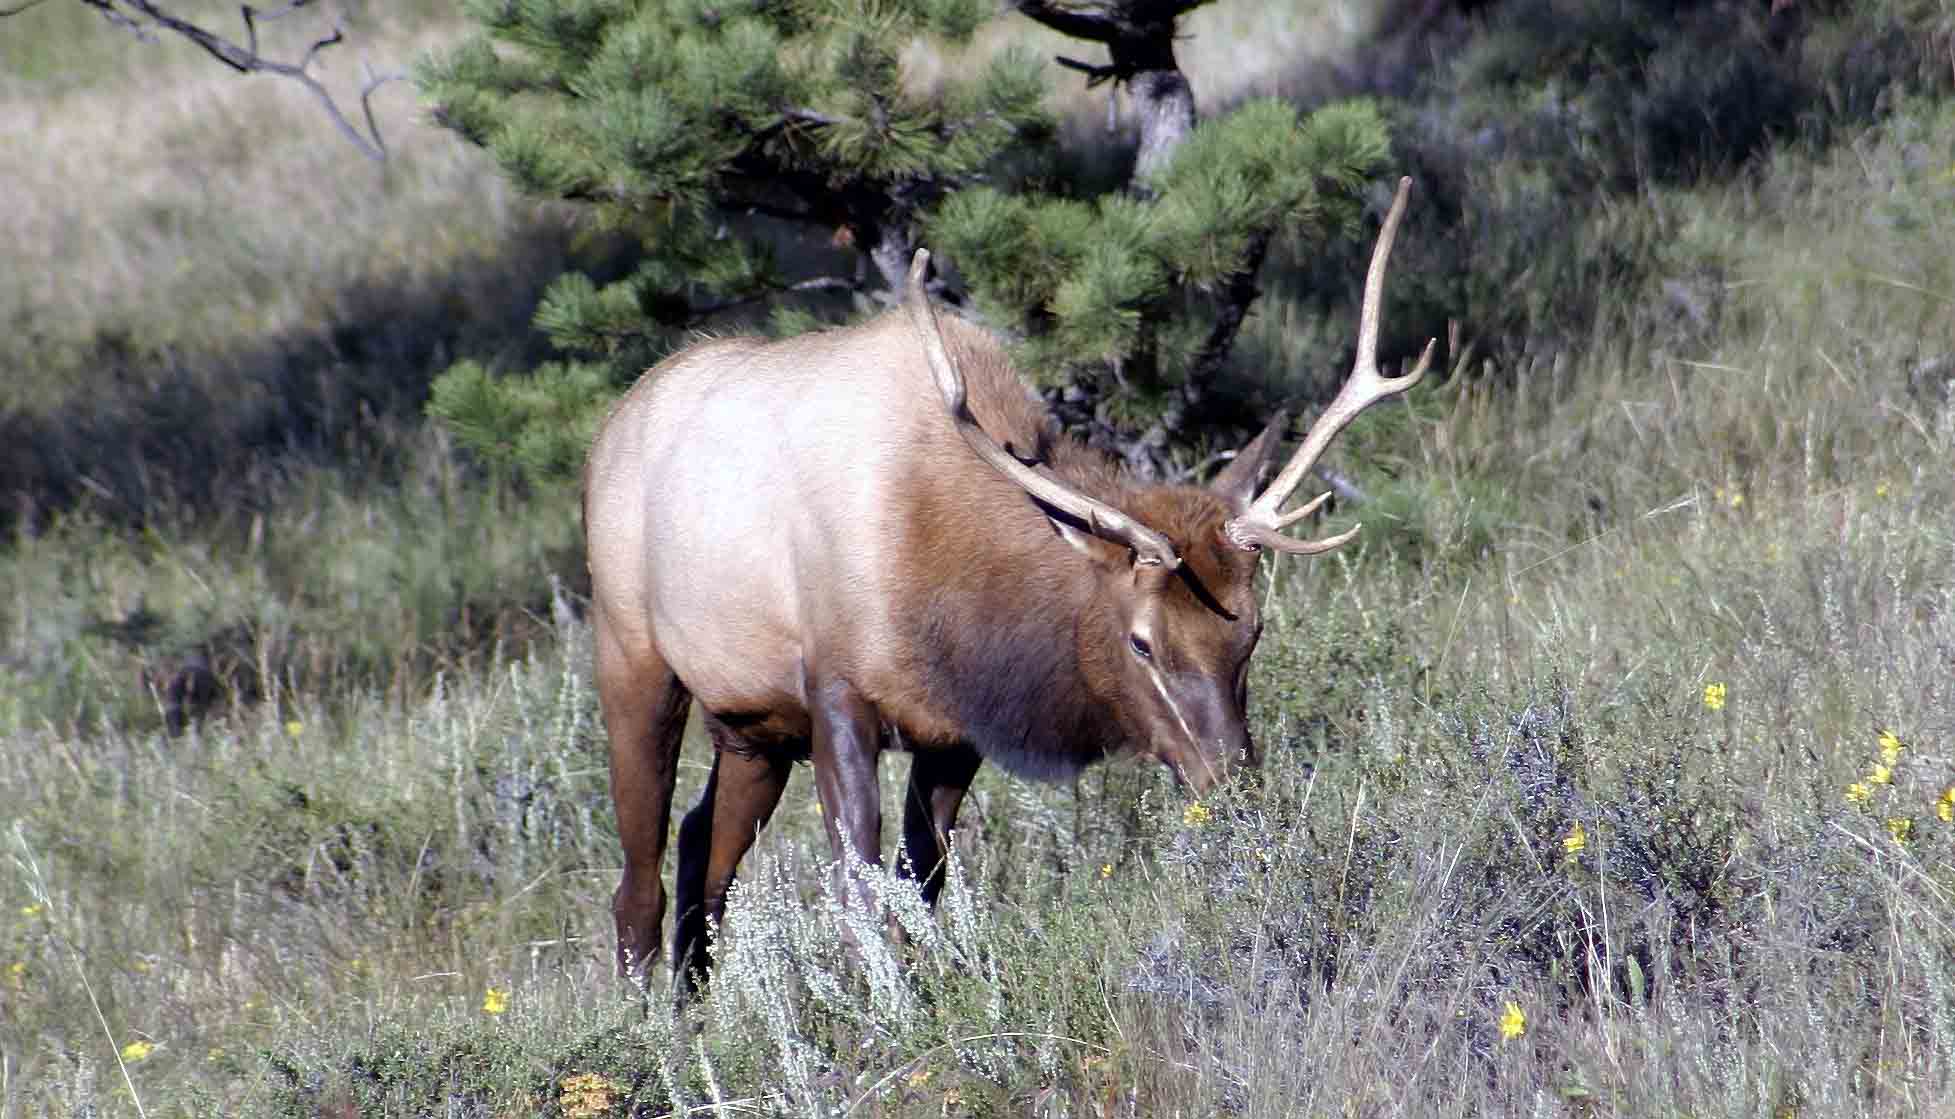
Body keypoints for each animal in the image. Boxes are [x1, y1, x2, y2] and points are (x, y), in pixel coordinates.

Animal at [583, 176, 1434, 995]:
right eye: (1141, 642)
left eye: (1251, 632)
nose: (1229, 782)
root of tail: (615, 421)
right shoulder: (836, 690)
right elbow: (861, 891)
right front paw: (880, 1014)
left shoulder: (954, 729)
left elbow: (920, 883)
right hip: (634, 654)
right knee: (638, 878)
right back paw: (641, 1020)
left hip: (752, 724)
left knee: (701, 842)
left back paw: (693, 1015)